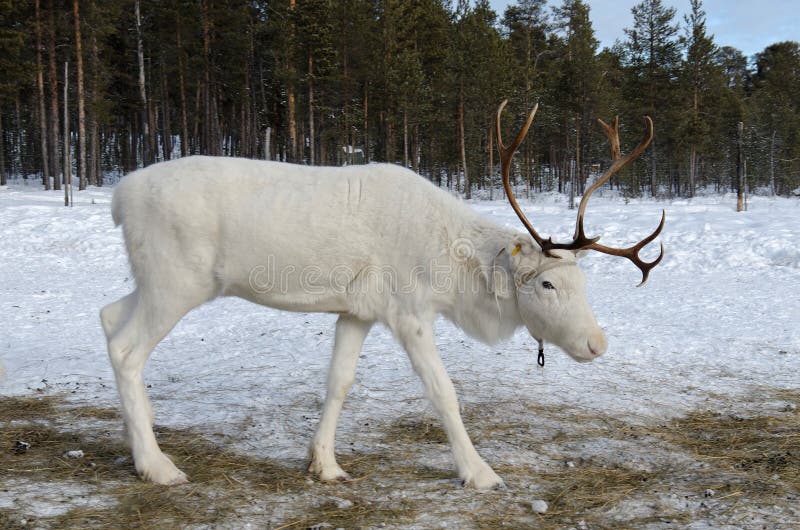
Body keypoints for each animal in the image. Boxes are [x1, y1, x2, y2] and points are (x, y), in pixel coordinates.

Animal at [100, 101, 663, 489]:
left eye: (582, 282)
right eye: (547, 283)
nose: (596, 343)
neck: (456, 275)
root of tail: (119, 196)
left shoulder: (357, 312)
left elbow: (338, 383)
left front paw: (325, 465)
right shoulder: (409, 312)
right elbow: (443, 392)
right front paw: (479, 472)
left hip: (155, 282)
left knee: (108, 318)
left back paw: (141, 433)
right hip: (177, 281)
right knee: (127, 348)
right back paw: (156, 465)